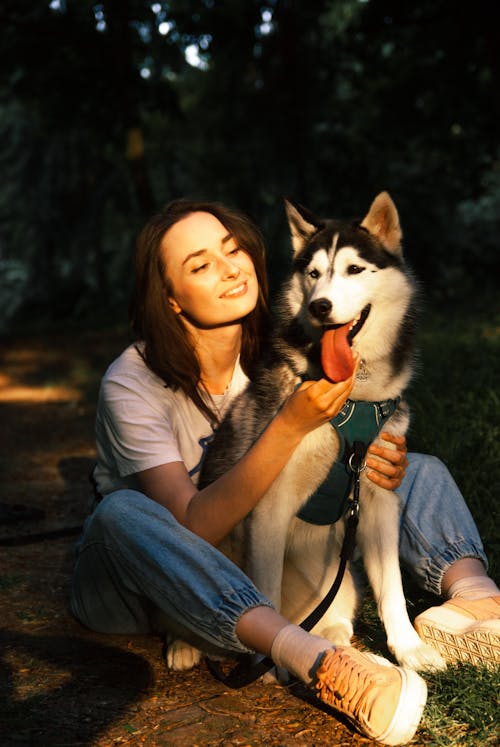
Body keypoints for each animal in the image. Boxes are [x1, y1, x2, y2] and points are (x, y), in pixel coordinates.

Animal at [199, 193, 446, 672]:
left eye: (354, 269)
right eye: (313, 274)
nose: (320, 306)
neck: (354, 398)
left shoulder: (378, 496)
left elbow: (392, 588)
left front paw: (409, 648)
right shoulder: (270, 504)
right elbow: (265, 592)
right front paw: (269, 661)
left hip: (338, 580)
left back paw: (333, 638)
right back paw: (183, 647)